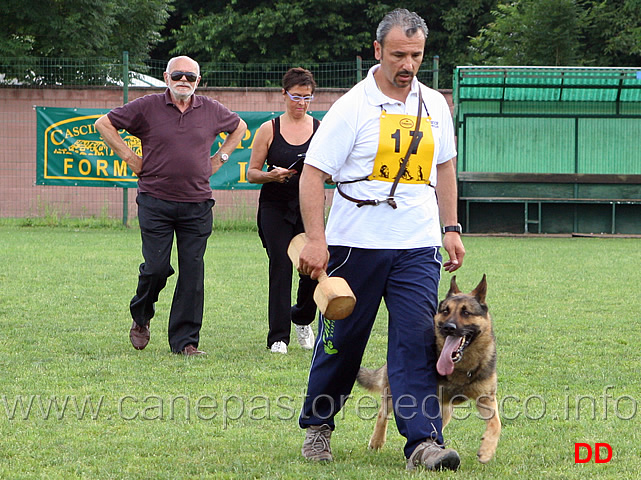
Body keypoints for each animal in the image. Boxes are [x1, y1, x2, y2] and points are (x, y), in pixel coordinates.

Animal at [356, 276, 500, 464]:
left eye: (466, 312)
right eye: (446, 311)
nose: (448, 327)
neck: (461, 367)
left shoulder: (486, 398)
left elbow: (496, 423)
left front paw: (487, 450)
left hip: (446, 410)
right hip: (395, 395)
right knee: (382, 413)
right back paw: (377, 442)